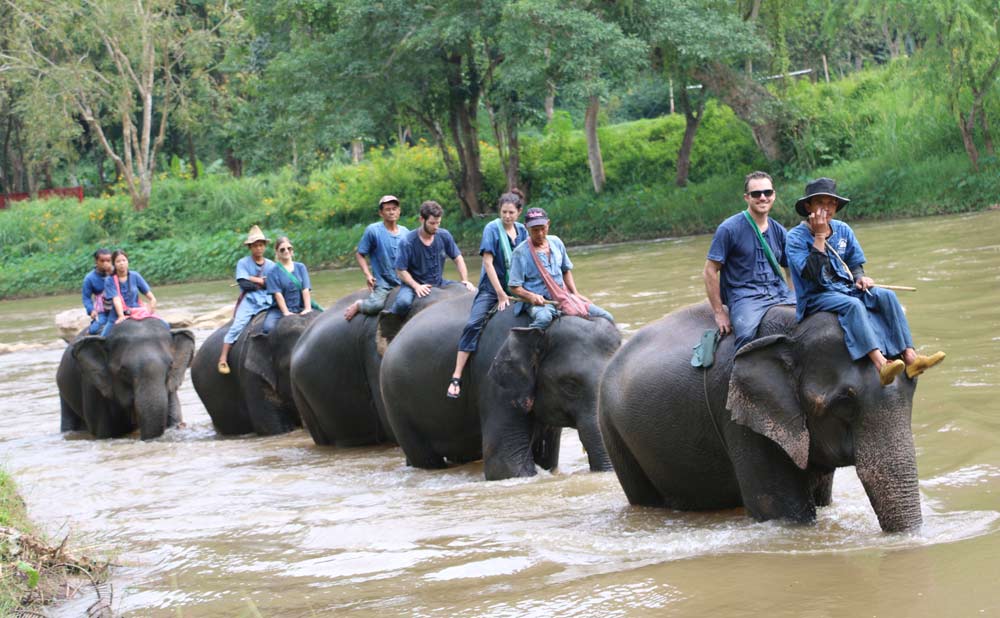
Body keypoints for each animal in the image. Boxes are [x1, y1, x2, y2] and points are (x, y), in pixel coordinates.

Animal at [378, 294, 620, 482]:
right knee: (425, 458)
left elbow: (546, 458)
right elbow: (505, 466)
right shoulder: (493, 380)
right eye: (570, 385)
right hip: (397, 406)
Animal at [592, 300, 920, 532]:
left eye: (913, 386)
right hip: (613, 431)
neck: (791, 328)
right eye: (844, 401)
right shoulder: (741, 418)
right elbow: (782, 511)